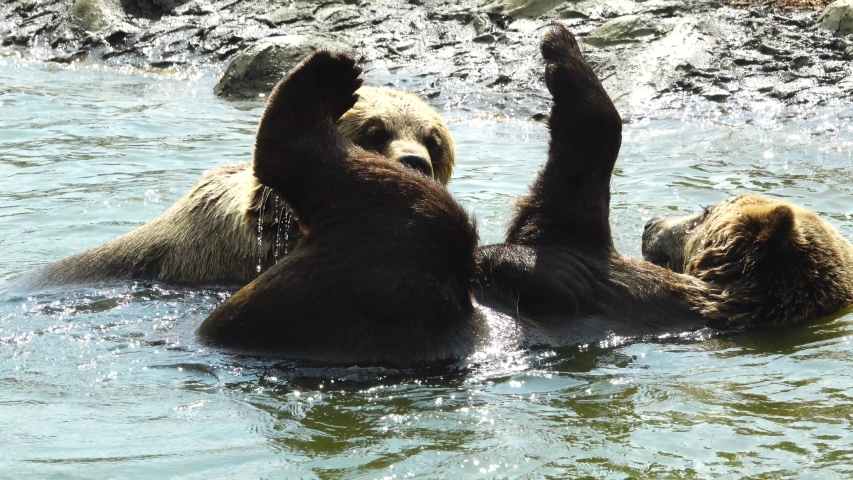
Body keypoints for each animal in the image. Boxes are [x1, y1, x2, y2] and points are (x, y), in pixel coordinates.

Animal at [197, 25, 721, 366]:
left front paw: (562, 53)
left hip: (387, 293)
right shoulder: (578, 239)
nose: (652, 223)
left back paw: (324, 79)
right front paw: (562, 47)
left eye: (702, 215)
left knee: (411, 213)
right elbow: (561, 199)